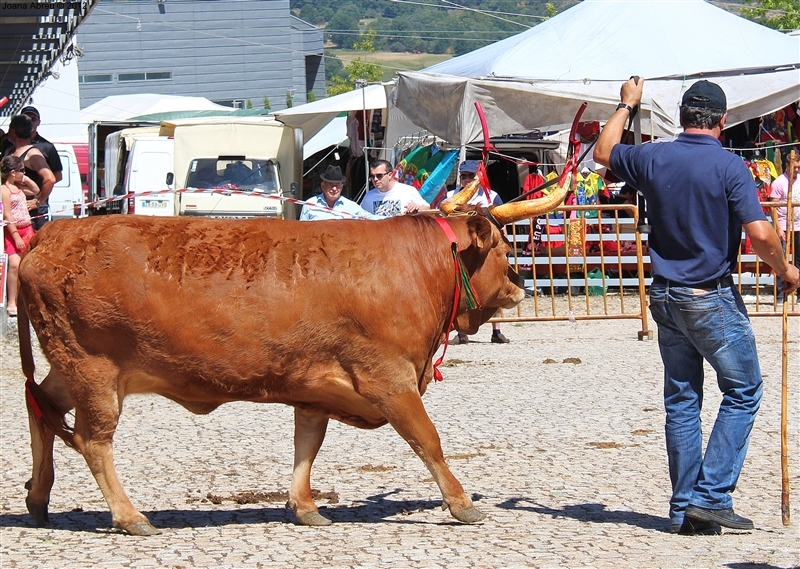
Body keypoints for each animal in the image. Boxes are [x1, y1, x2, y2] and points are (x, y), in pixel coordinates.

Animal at [18, 173, 568, 532]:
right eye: (502, 246)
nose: (520, 286)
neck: (417, 266)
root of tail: (53, 231)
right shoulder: (388, 377)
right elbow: (427, 440)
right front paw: (461, 502)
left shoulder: (314, 383)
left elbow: (308, 444)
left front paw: (304, 506)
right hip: (93, 371)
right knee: (92, 440)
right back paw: (130, 516)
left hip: (69, 369)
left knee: (39, 404)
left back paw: (39, 497)